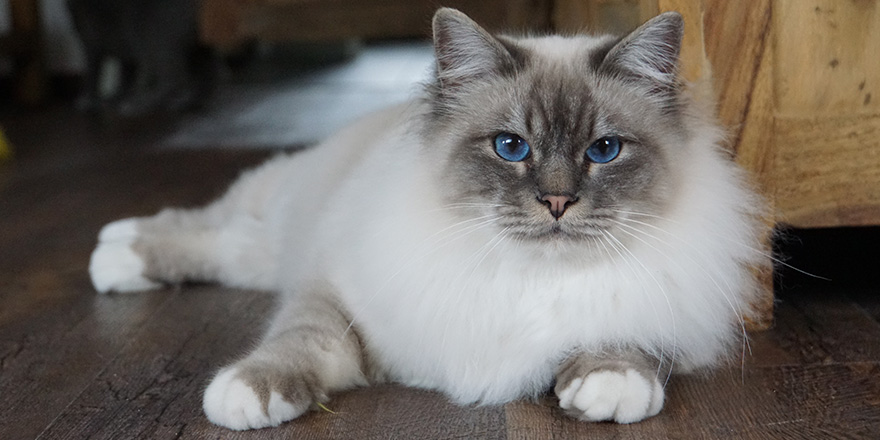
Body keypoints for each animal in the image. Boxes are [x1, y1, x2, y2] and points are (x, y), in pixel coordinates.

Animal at [86, 8, 768, 432]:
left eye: (603, 151)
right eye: (511, 147)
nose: (556, 202)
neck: (527, 275)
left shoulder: (665, 305)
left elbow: (624, 344)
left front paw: (608, 389)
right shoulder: (338, 300)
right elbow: (295, 344)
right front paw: (246, 396)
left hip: (266, 255)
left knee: (226, 245)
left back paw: (117, 252)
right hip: (280, 226)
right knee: (207, 225)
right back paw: (115, 250)